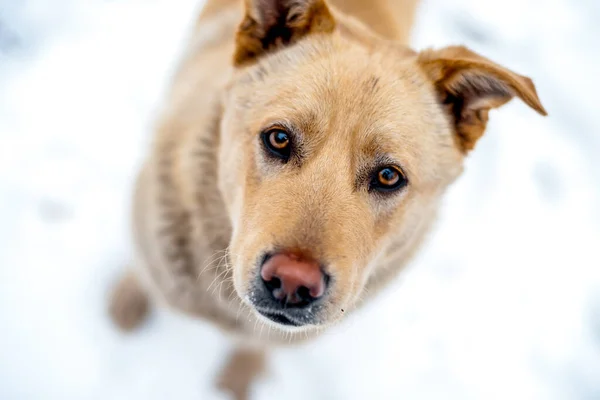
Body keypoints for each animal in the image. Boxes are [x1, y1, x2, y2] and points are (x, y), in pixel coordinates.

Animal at [106, 0, 544, 396]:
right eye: (278, 138)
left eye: (389, 176)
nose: (292, 281)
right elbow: (144, 271)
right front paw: (129, 299)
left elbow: (254, 347)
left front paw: (237, 381)